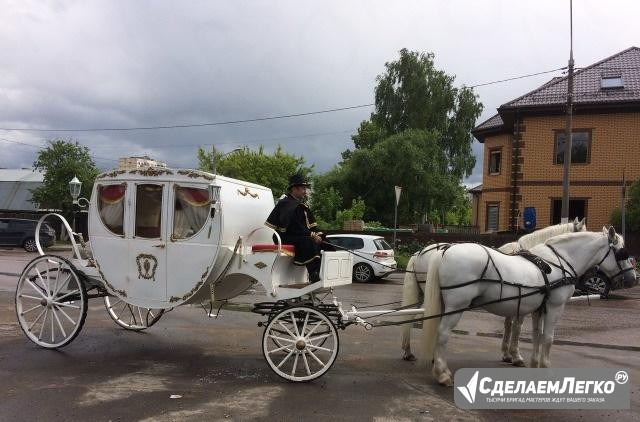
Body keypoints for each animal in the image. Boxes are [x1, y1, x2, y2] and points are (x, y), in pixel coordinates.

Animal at [400, 218, 584, 362]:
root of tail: (419, 253)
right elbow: (516, 327)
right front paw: (515, 355)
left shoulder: (516, 303)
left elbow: (508, 325)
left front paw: (507, 354)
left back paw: (409, 351)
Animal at [420, 227, 636, 386]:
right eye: (621, 252)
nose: (632, 278)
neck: (559, 262)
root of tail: (445, 250)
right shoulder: (555, 307)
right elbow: (548, 338)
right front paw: (546, 370)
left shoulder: (538, 309)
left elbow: (536, 336)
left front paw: (534, 365)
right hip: (457, 305)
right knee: (443, 333)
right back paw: (442, 374)